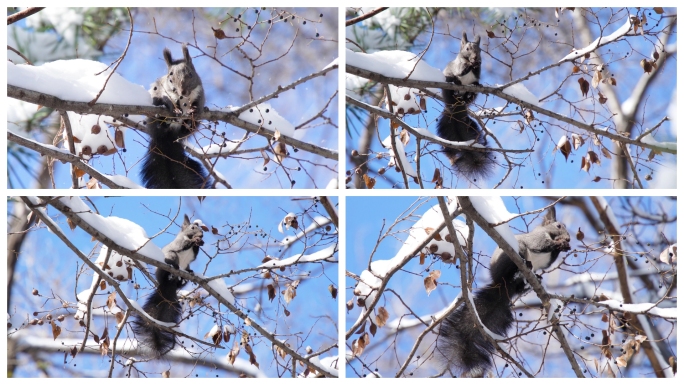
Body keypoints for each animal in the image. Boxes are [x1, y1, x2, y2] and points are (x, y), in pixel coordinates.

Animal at [132, 213, 204, 356]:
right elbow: (184, 244)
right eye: (192, 227)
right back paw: (173, 269)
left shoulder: (192, 256)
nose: (201, 235)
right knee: (171, 262)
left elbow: (194, 254)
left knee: (182, 279)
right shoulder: (178, 244)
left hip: (185, 268)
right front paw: (194, 241)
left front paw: (199, 243)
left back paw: (185, 277)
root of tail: (167, 284)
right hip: (170, 256)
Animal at [140, 43, 211, 189]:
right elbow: (166, 100)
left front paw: (195, 109)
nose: (182, 91)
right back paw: (163, 122)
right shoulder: (162, 91)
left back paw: (188, 124)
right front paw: (174, 108)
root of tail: (166, 140)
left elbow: (199, 103)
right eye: (170, 77)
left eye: (191, 74)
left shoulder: (200, 92)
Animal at [436, 31, 494, 180]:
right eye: (467, 49)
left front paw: (477, 65)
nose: (476, 58)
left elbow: (477, 73)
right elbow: (461, 70)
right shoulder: (458, 66)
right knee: (452, 83)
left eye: (480, 50)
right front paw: (468, 65)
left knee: (470, 94)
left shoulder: (477, 74)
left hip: (470, 94)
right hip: (447, 83)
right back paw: (455, 86)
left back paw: (469, 94)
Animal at [438, 206, 572, 376]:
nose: (568, 239)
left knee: (520, 285)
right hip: (510, 256)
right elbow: (542, 244)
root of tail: (502, 284)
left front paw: (563, 247)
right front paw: (558, 244)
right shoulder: (536, 239)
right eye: (559, 226)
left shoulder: (547, 261)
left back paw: (530, 281)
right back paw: (523, 266)